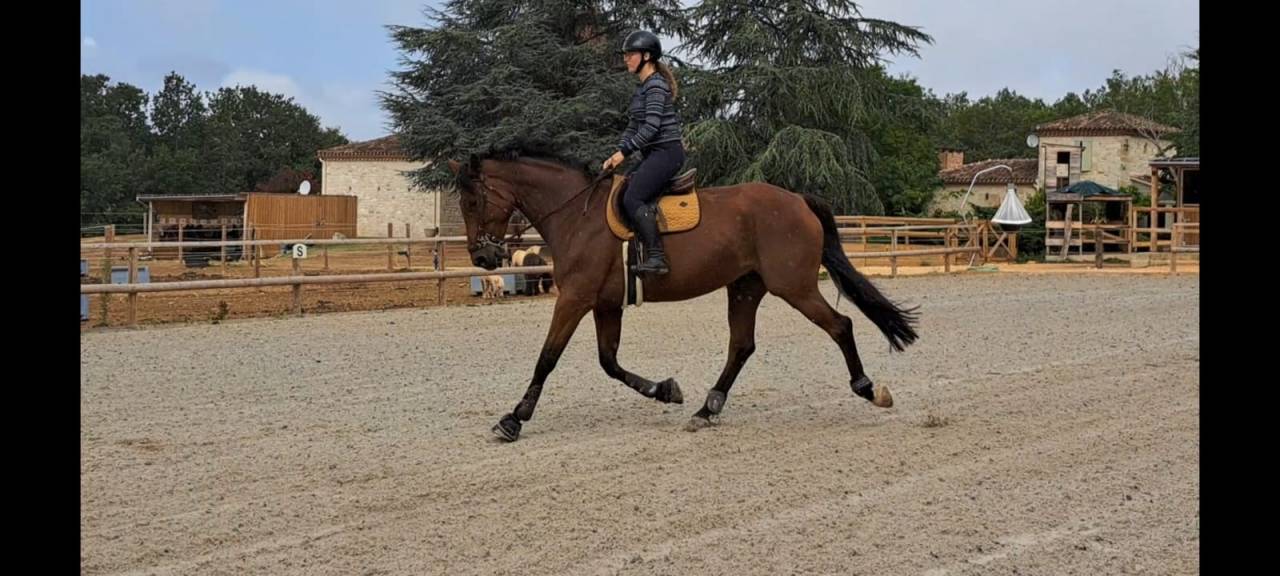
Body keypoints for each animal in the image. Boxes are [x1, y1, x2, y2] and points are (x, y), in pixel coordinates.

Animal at [447, 150, 918, 442]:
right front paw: (667, 390)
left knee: (841, 325)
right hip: (745, 288)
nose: (482, 257)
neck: (575, 216)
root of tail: (797, 200)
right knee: (741, 346)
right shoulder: (604, 304)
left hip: (794, 287)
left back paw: (868, 388)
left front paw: (513, 419)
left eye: (471, 201)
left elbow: (547, 357)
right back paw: (707, 410)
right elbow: (609, 362)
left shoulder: (575, 299)